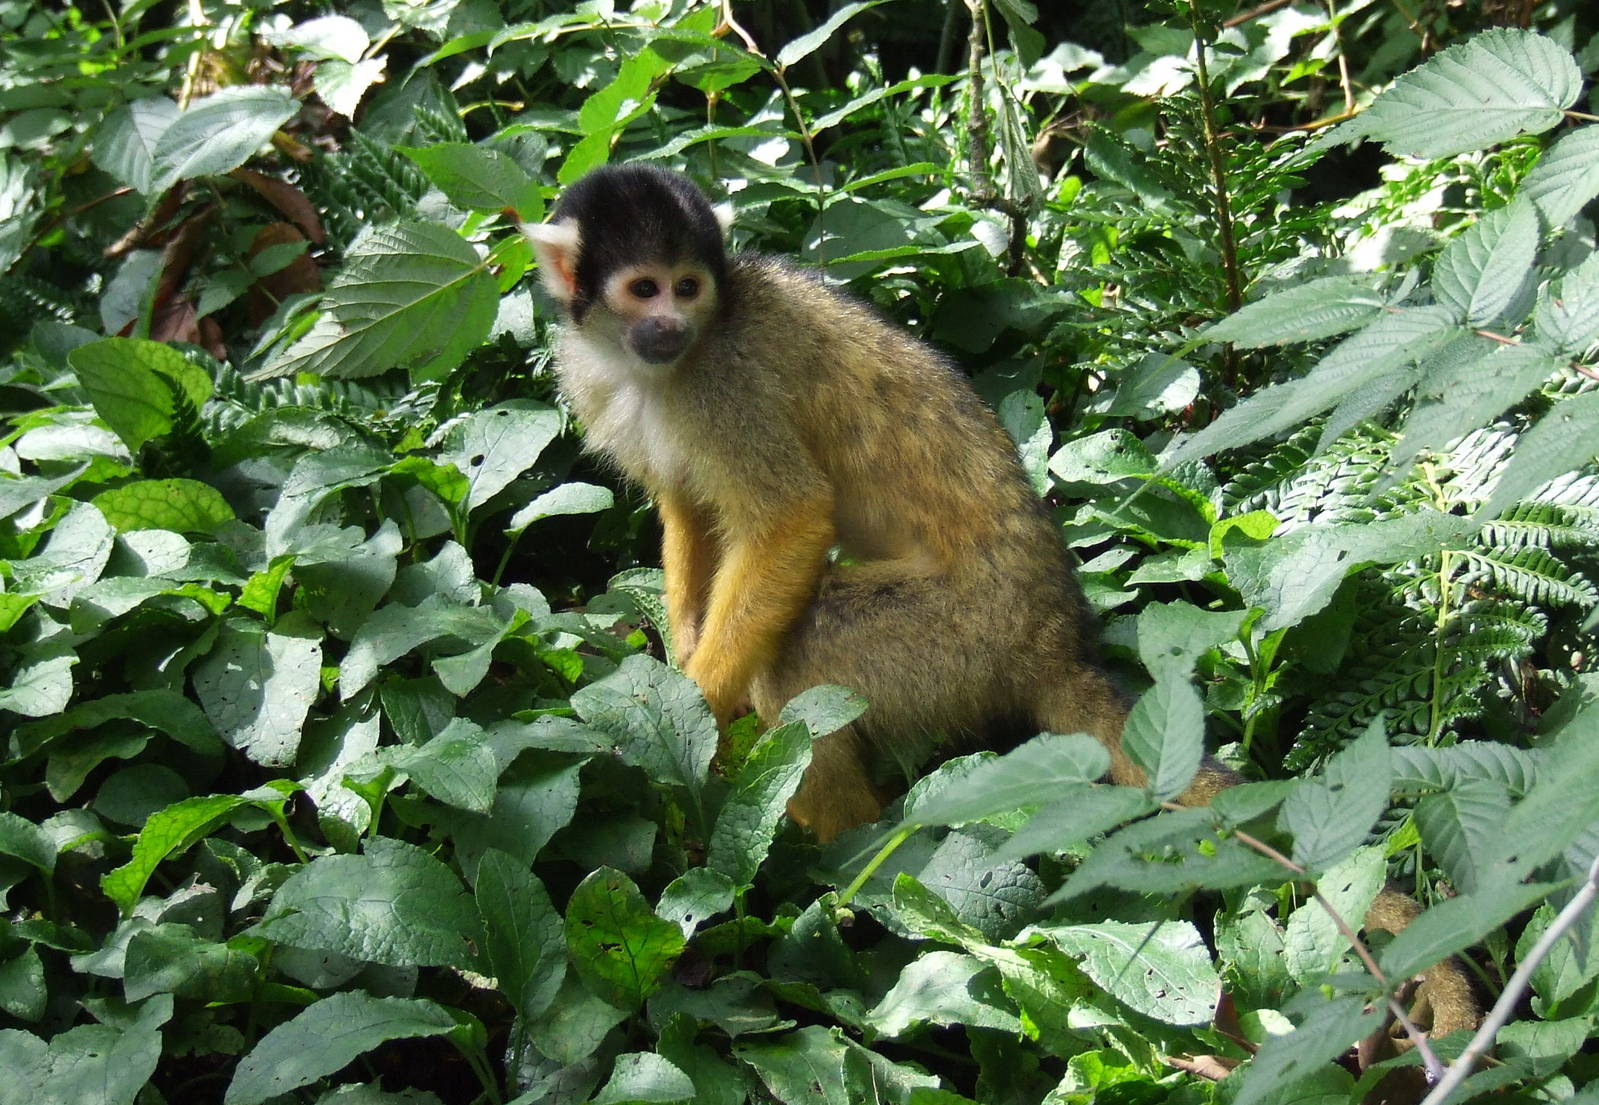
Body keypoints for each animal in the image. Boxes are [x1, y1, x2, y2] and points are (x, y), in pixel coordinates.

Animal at [521, 163, 1478, 1037]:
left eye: (688, 287)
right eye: (644, 288)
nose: (670, 322)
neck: (654, 366)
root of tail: (1054, 639)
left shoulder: (727, 383)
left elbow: (787, 520)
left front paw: (704, 704)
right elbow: (688, 509)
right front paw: (677, 663)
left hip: (958, 640)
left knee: (807, 658)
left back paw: (845, 879)